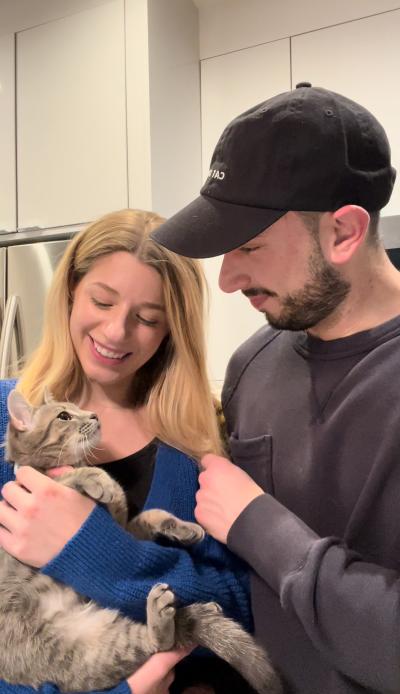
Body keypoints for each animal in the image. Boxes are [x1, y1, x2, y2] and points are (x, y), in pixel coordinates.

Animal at [0, 392, 282, 694]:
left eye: (79, 408)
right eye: (64, 416)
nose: (94, 415)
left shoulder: (123, 526)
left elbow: (152, 514)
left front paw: (185, 528)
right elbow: (74, 477)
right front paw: (100, 479)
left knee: (159, 643)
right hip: (78, 652)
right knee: (156, 644)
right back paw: (165, 611)